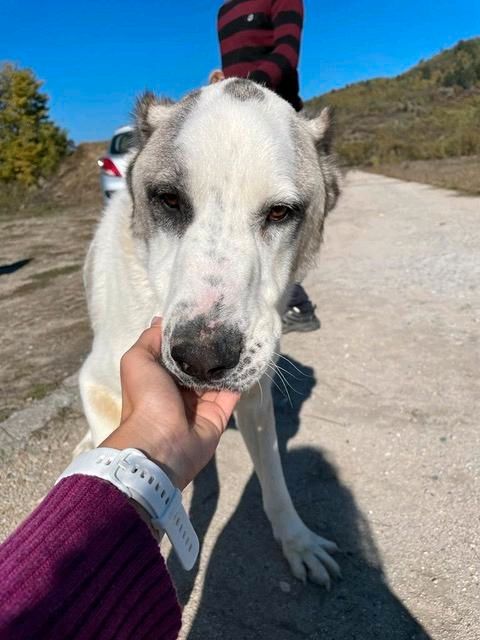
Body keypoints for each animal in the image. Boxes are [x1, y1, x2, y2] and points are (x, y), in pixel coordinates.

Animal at [79, 77, 340, 588]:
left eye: (280, 213)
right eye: (169, 199)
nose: (201, 358)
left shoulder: (255, 392)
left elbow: (274, 474)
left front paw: (296, 539)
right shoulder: (99, 383)